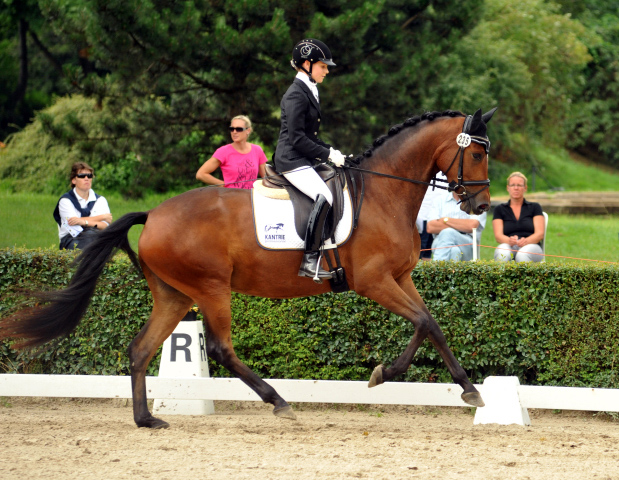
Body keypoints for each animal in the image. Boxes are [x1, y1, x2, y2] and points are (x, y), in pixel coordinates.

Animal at [0, 108, 496, 428]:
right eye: (476, 154)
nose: (481, 205)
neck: (383, 192)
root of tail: (154, 214)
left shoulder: (400, 277)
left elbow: (430, 323)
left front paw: (465, 388)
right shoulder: (373, 281)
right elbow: (423, 322)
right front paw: (388, 375)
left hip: (174, 294)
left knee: (140, 349)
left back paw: (147, 419)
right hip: (211, 288)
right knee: (221, 349)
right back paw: (278, 401)